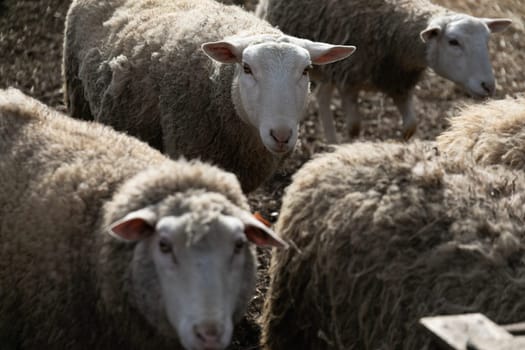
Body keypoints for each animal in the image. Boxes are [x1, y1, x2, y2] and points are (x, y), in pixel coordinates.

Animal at [258, 0, 512, 142]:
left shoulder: (398, 82)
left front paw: (401, 144)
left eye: (488, 40)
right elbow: (354, 127)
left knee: (322, 95)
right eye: (453, 42)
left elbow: (411, 125)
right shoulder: (349, 79)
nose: (488, 86)